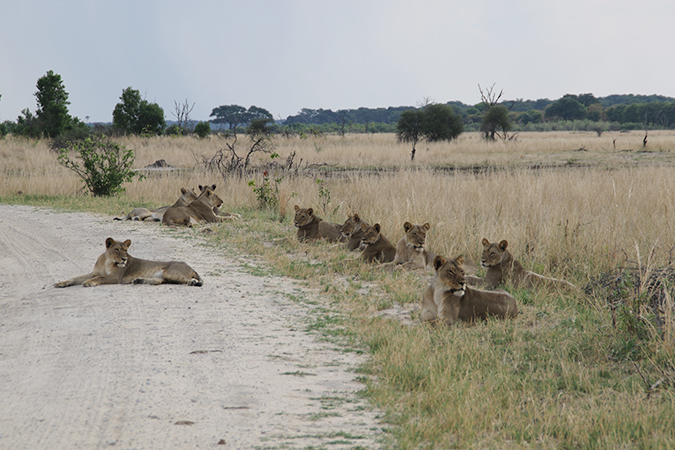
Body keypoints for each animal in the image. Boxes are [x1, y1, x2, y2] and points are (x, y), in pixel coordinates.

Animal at [54, 237, 203, 287]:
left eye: (125, 250)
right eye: (117, 249)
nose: (125, 259)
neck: (107, 261)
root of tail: (189, 265)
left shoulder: (116, 277)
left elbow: (100, 278)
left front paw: (89, 283)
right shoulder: (94, 272)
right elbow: (75, 278)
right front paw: (60, 283)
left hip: (171, 272)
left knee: (188, 280)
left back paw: (193, 282)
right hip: (164, 277)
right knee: (159, 281)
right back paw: (139, 280)